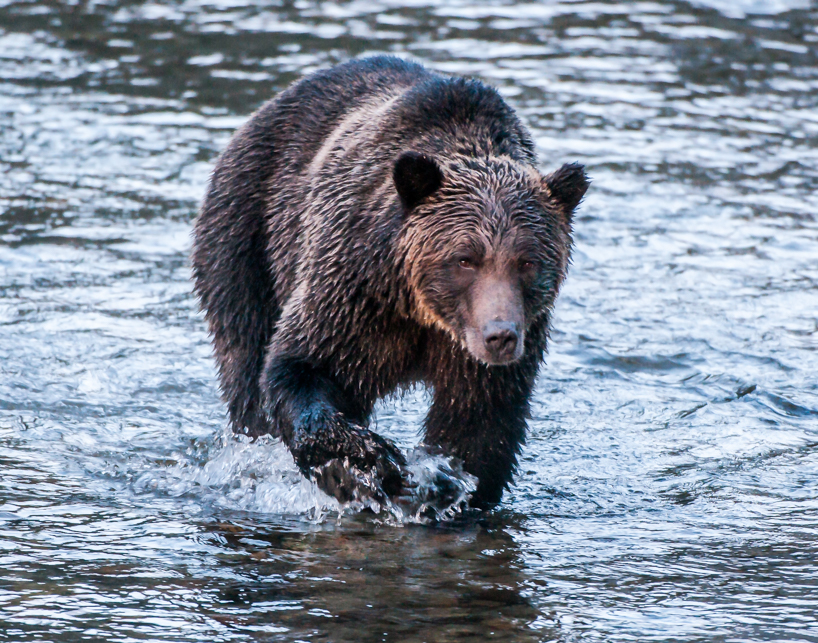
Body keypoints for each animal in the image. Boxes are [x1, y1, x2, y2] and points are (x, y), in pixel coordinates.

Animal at [192, 56, 588, 509]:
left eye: (526, 261)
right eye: (465, 258)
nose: (500, 336)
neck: (422, 310)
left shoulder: (494, 352)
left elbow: (480, 423)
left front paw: (444, 484)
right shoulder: (352, 287)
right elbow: (300, 365)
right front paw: (371, 463)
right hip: (246, 232)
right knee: (245, 357)